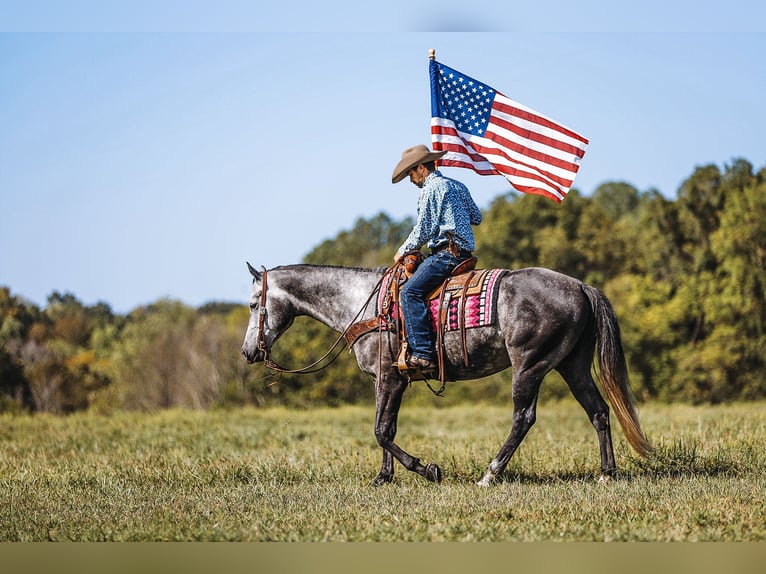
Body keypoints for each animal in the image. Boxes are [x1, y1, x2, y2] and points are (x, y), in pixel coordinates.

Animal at [243, 264, 652, 486]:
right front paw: (384, 477)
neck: (365, 304)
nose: (249, 352)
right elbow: (386, 428)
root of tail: (580, 286)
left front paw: (427, 469)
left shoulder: (389, 378)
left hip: (530, 365)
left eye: (252, 304)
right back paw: (607, 472)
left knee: (524, 418)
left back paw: (490, 474)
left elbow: (380, 430)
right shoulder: (387, 380)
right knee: (598, 411)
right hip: (572, 365)